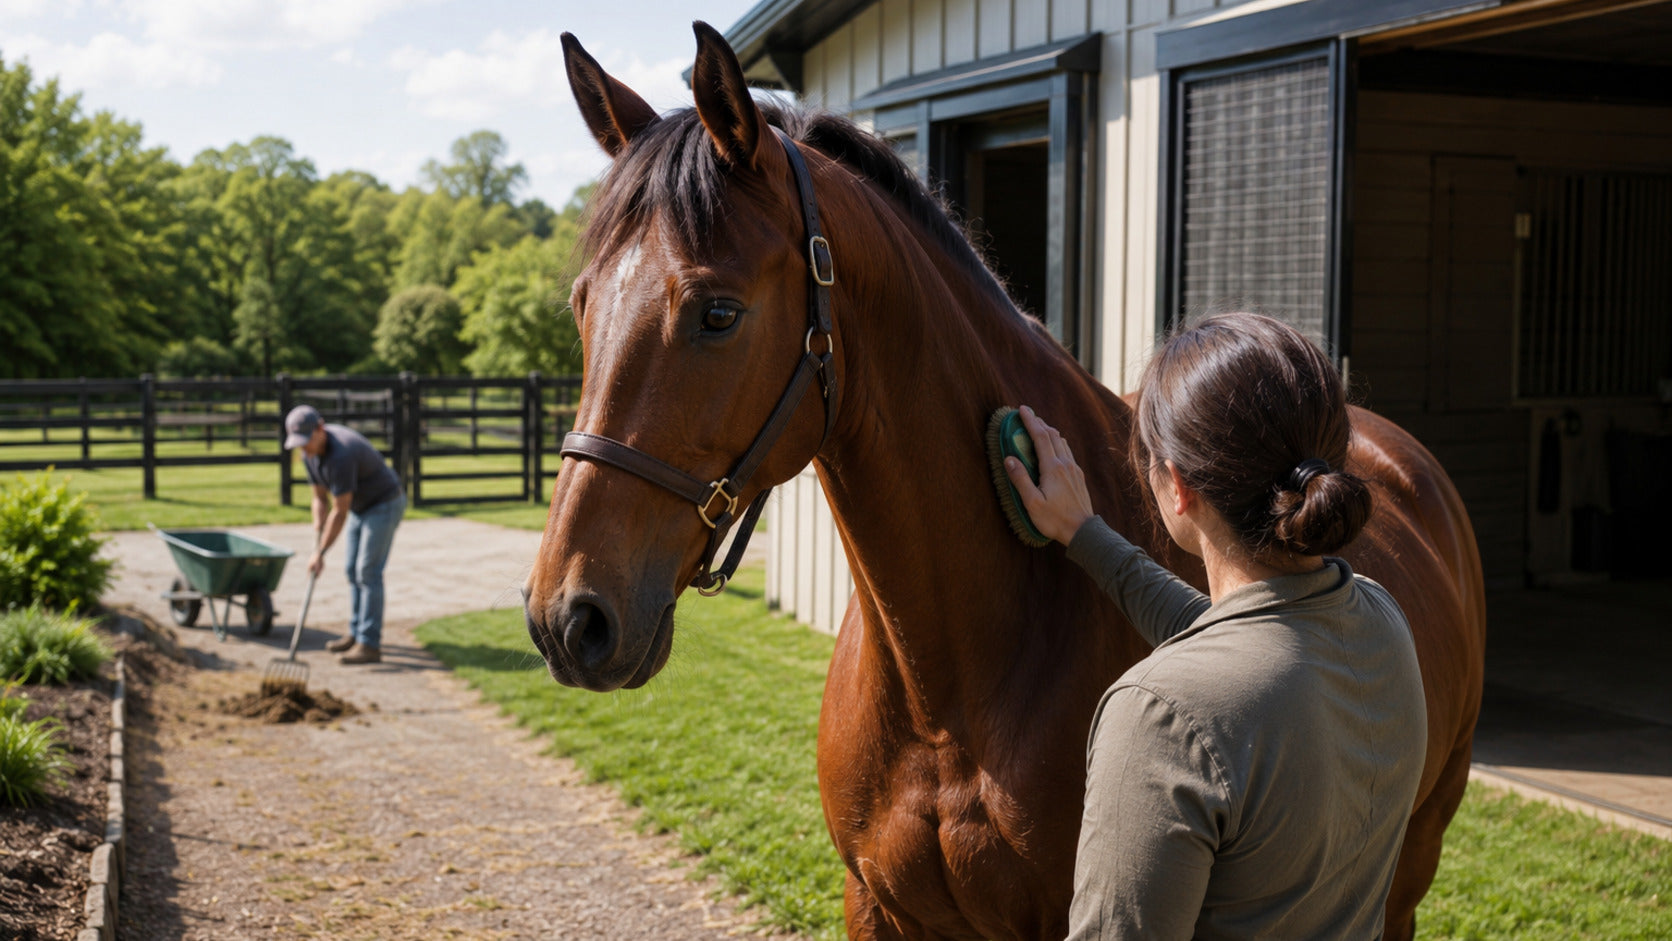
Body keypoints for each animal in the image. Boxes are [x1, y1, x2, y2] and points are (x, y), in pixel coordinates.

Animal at [525, 22, 1486, 941]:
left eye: (718, 312)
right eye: (581, 303)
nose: (567, 617)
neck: (952, 685)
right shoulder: (877, 906)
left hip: (1416, 856)